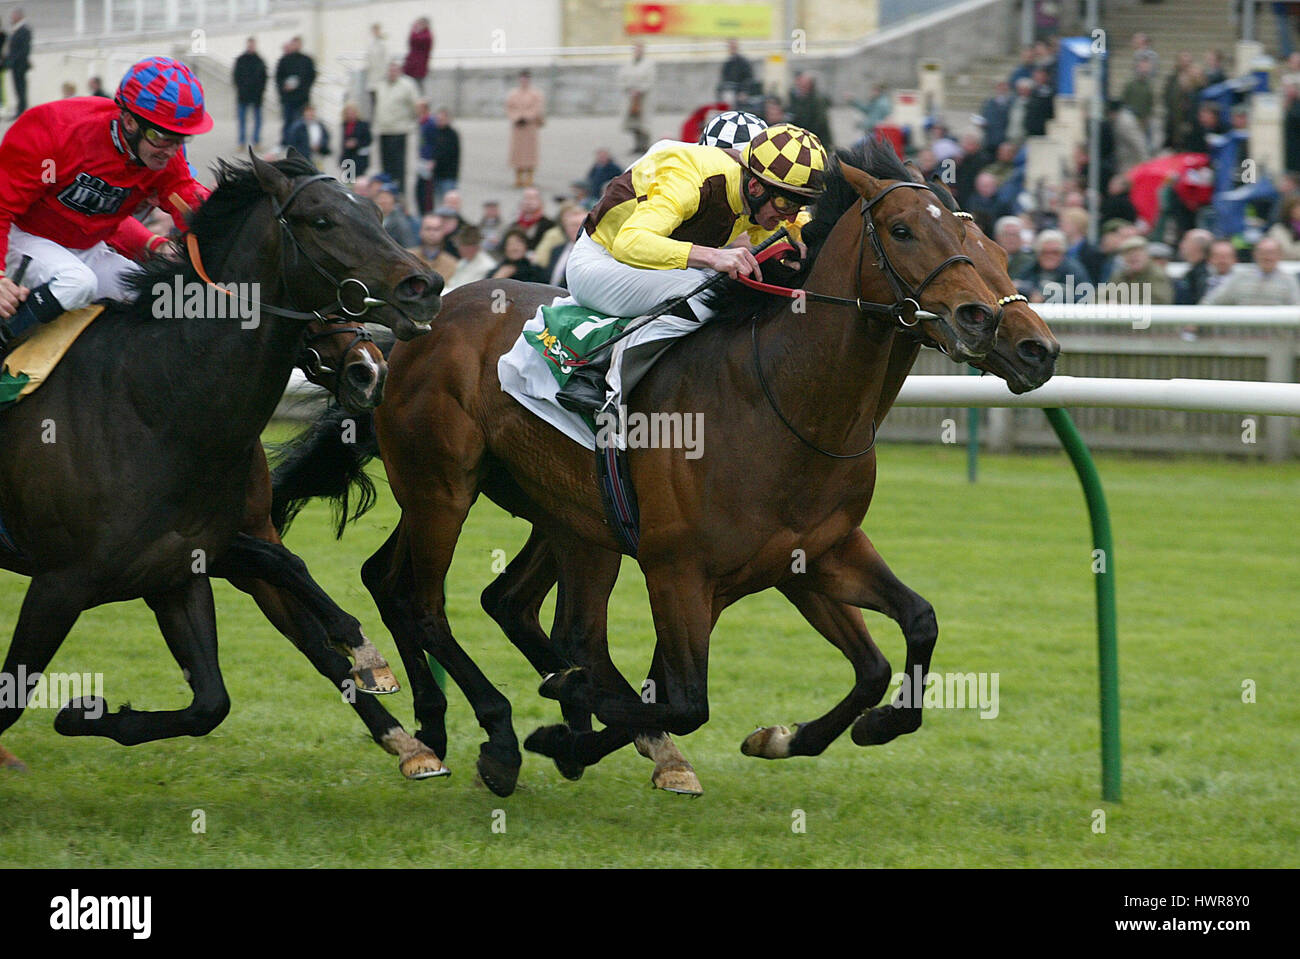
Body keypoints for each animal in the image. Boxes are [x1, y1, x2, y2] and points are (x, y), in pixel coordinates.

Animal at [0, 149, 441, 764]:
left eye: (379, 214)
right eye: (323, 221)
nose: (426, 285)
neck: (151, 406)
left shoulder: (179, 571)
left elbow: (216, 697)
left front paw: (86, 712)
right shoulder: (58, 585)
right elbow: (8, 700)